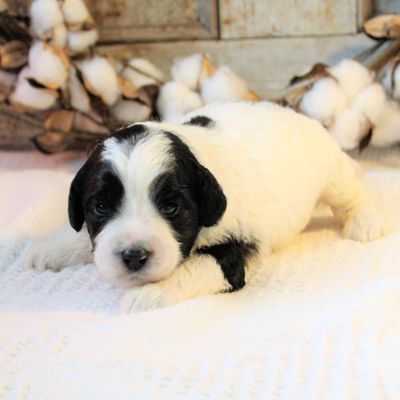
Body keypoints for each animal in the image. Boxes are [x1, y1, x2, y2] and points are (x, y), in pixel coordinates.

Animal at [23, 101, 386, 310]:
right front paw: (54, 248)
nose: (134, 256)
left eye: (171, 208)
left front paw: (147, 295)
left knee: (349, 194)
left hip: (330, 173)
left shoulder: (233, 251)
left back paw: (365, 220)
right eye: (100, 207)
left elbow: (195, 267)